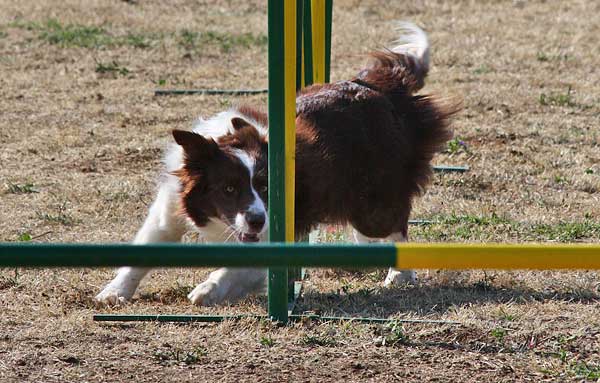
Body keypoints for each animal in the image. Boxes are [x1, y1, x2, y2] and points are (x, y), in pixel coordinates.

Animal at [97, 23, 454, 306]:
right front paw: (115, 292)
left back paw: (399, 274)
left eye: (265, 186)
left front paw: (208, 289)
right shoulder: (170, 209)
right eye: (228, 189)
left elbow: (239, 268)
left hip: (375, 203)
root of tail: (374, 86)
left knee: (395, 225)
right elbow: (145, 249)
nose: (256, 220)